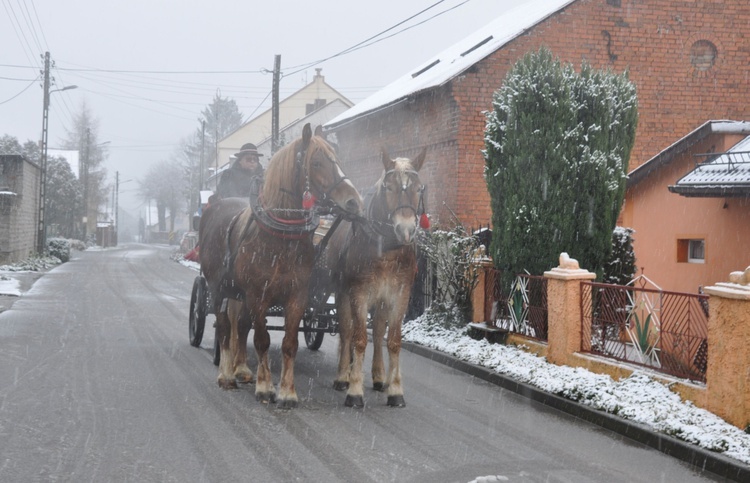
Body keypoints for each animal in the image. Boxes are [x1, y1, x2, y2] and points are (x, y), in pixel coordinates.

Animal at [200, 124, 364, 408]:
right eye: (317, 162)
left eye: (337, 159)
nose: (354, 202)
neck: (280, 233)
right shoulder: (258, 294)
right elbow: (262, 339)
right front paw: (265, 388)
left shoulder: (297, 295)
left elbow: (289, 342)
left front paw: (287, 392)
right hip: (217, 287)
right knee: (224, 328)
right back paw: (227, 375)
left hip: (240, 294)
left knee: (240, 325)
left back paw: (242, 369)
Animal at [326, 147, 426, 408]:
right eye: (388, 187)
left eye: (418, 188)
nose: (406, 230)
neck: (387, 249)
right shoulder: (359, 293)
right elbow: (359, 338)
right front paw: (354, 390)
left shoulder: (400, 294)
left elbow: (393, 340)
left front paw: (395, 390)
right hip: (343, 293)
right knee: (347, 331)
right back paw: (343, 376)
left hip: (381, 299)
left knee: (379, 330)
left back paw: (380, 377)